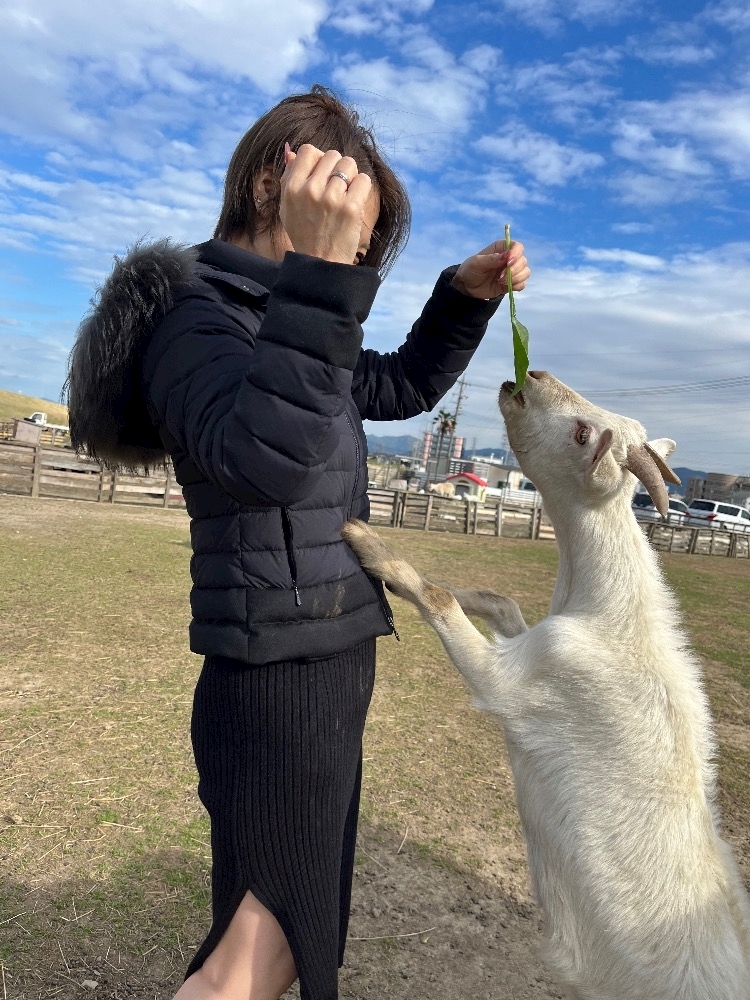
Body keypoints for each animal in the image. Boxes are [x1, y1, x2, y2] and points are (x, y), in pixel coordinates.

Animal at [346, 372, 750, 996]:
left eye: (583, 433)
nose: (530, 375)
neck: (608, 612)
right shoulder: (531, 644)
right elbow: (502, 602)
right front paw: (459, 586)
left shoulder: (529, 678)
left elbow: (439, 603)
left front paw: (376, 552)